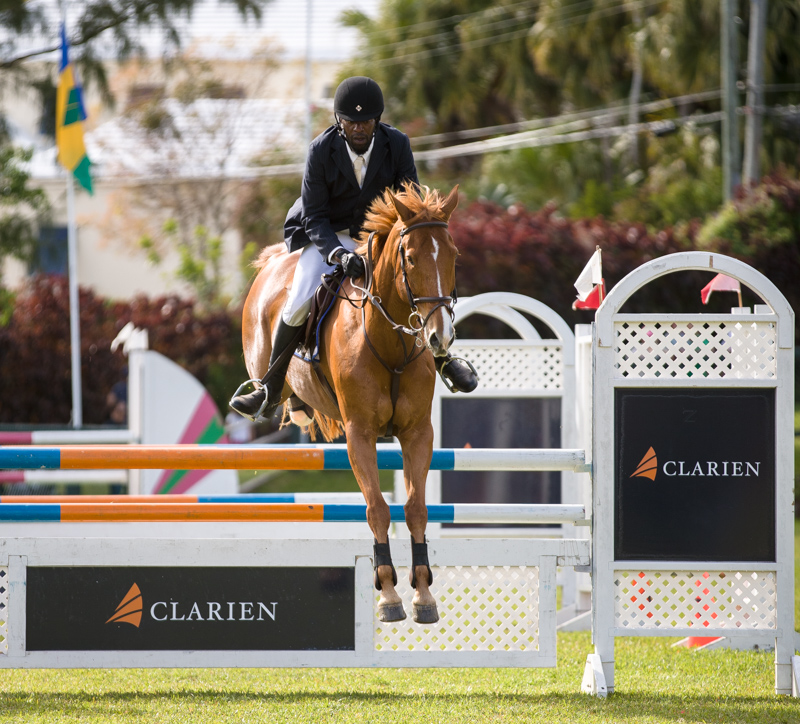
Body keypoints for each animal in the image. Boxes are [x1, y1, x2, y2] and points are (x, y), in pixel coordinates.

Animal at [241, 182, 460, 624]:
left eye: (453, 255)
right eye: (411, 258)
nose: (440, 338)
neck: (390, 344)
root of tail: (273, 261)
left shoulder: (417, 434)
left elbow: (415, 507)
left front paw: (423, 594)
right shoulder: (360, 434)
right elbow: (377, 508)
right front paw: (388, 594)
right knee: (273, 385)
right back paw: (268, 398)